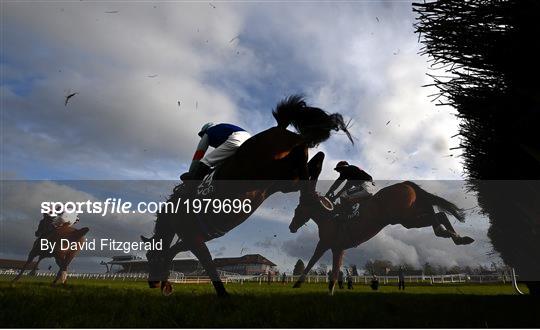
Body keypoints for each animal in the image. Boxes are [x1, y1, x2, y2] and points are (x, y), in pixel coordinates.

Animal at [141, 94, 352, 296]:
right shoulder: (192, 238)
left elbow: (205, 262)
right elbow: (174, 252)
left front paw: (223, 294)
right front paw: (167, 286)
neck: (173, 214)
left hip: (270, 168)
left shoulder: (192, 237)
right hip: (284, 180)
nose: (151, 282)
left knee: (304, 157)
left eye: (150, 256)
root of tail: (279, 128)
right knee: (314, 162)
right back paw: (316, 196)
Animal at [292, 153, 472, 296]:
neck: (328, 217)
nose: (291, 227)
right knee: (438, 214)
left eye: (297, 210)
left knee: (436, 217)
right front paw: (299, 284)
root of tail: (405, 183)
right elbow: (314, 262)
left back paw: (446, 233)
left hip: (404, 216)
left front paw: (324, 290)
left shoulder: (333, 246)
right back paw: (458, 237)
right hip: (410, 215)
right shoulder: (329, 245)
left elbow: (325, 267)